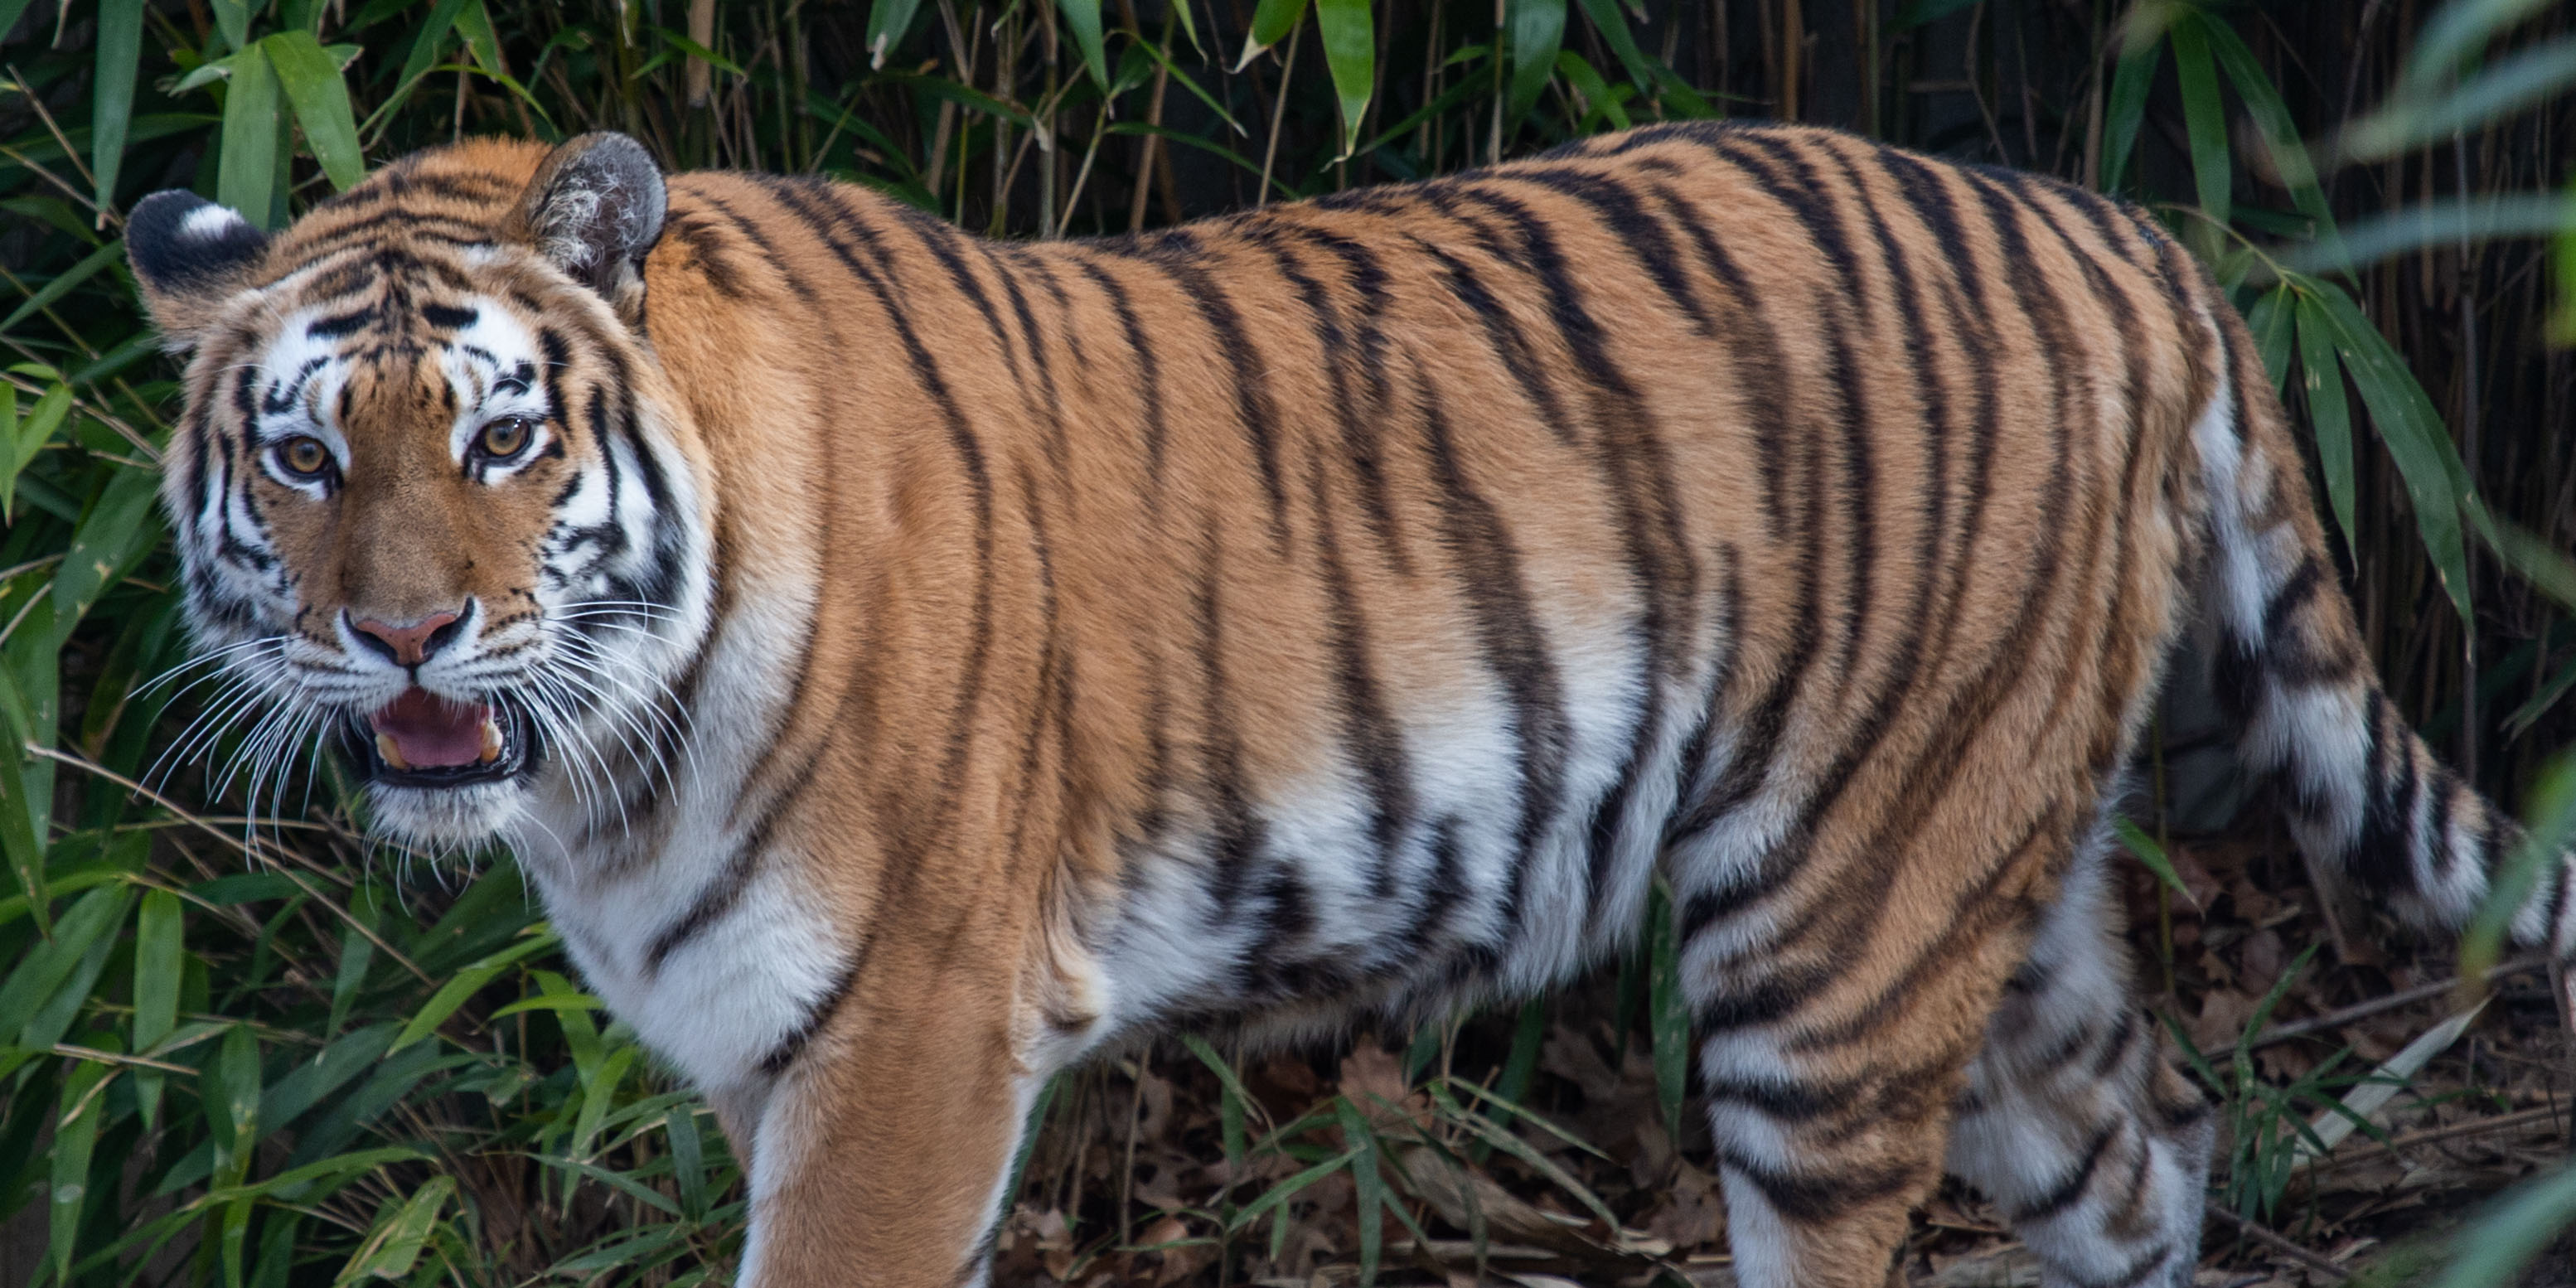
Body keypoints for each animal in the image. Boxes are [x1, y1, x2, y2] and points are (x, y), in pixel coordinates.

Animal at [130, 118, 2576, 1277]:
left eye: (504, 439)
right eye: (307, 458)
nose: (408, 638)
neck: (605, 777)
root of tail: (2128, 235)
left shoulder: (907, 1047)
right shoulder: (771, 1062)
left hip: (1838, 944)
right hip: (2005, 894)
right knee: (2149, 1162)